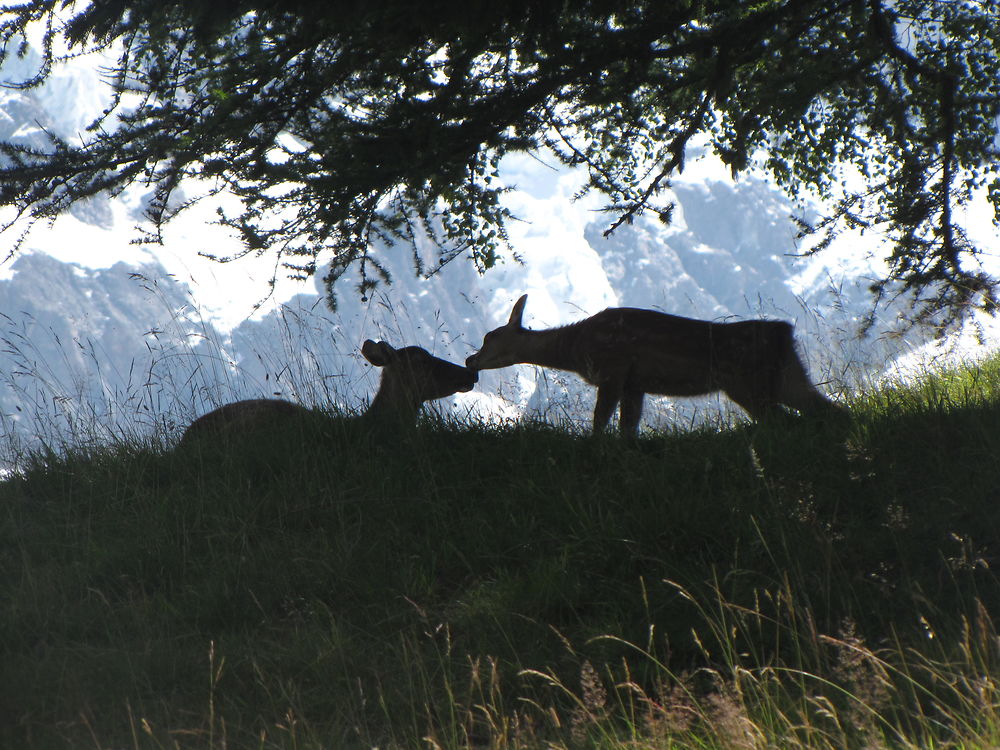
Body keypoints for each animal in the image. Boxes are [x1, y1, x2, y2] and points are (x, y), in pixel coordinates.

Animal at [464, 294, 840, 434]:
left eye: (490, 336)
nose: (470, 359)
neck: (575, 348)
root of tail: (784, 333)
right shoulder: (635, 384)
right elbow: (627, 428)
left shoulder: (613, 371)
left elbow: (600, 421)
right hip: (789, 377)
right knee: (828, 410)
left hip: (748, 383)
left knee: (782, 419)